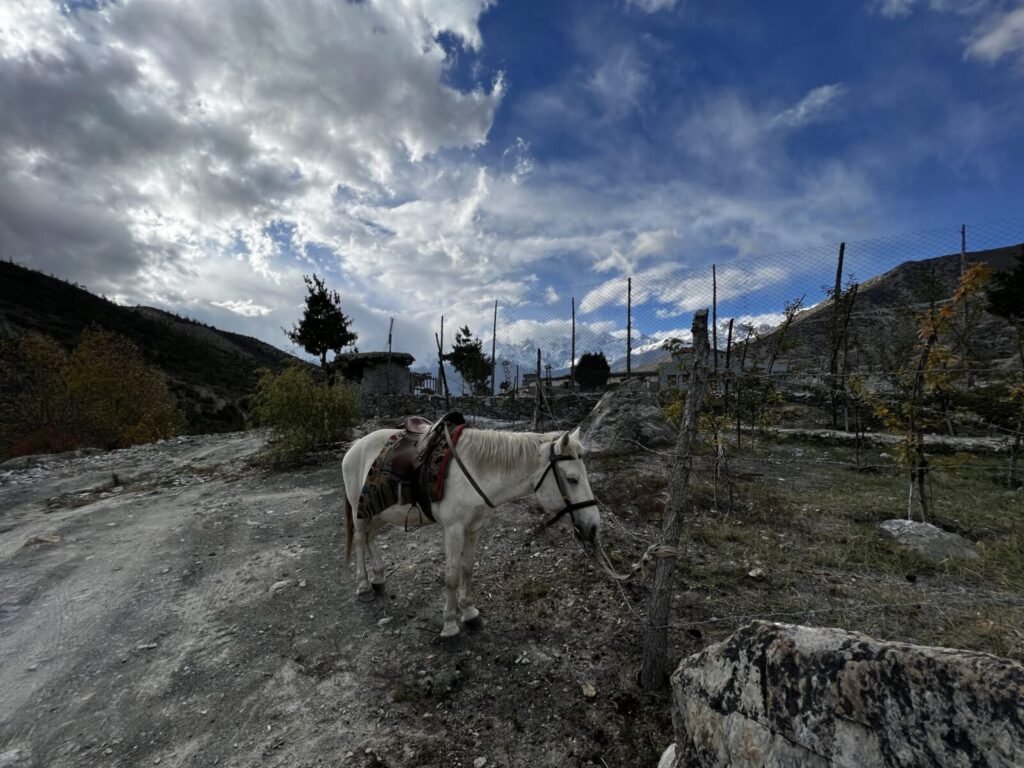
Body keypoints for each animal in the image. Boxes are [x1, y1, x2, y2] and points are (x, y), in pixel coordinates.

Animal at [341, 424, 600, 641]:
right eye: (572, 479)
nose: (593, 526)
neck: (476, 471)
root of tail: (355, 446)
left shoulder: (474, 527)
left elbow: (467, 569)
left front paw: (469, 612)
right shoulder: (454, 530)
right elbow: (452, 576)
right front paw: (450, 625)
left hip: (378, 513)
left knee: (370, 538)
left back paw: (378, 578)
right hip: (359, 512)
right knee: (359, 540)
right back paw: (364, 586)